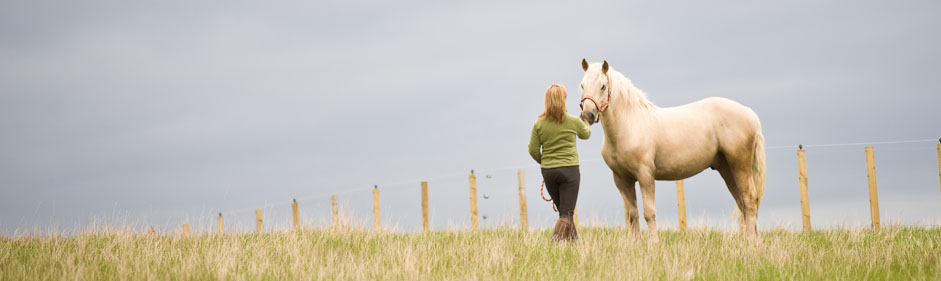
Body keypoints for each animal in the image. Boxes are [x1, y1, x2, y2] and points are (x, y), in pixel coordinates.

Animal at [576, 59, 768, 241]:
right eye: (582, 85)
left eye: (603, 86)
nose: (587, 115)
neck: (630, 124)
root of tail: (749, 113)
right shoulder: (622, 179)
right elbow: (632, 214)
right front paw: (635, 244)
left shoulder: (645, 175)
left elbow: (649, 212)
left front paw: (653, 243)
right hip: (727, 170)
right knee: (742, 203)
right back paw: (754, 241)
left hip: (740, 166)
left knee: (750, 199)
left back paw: (750, 241)